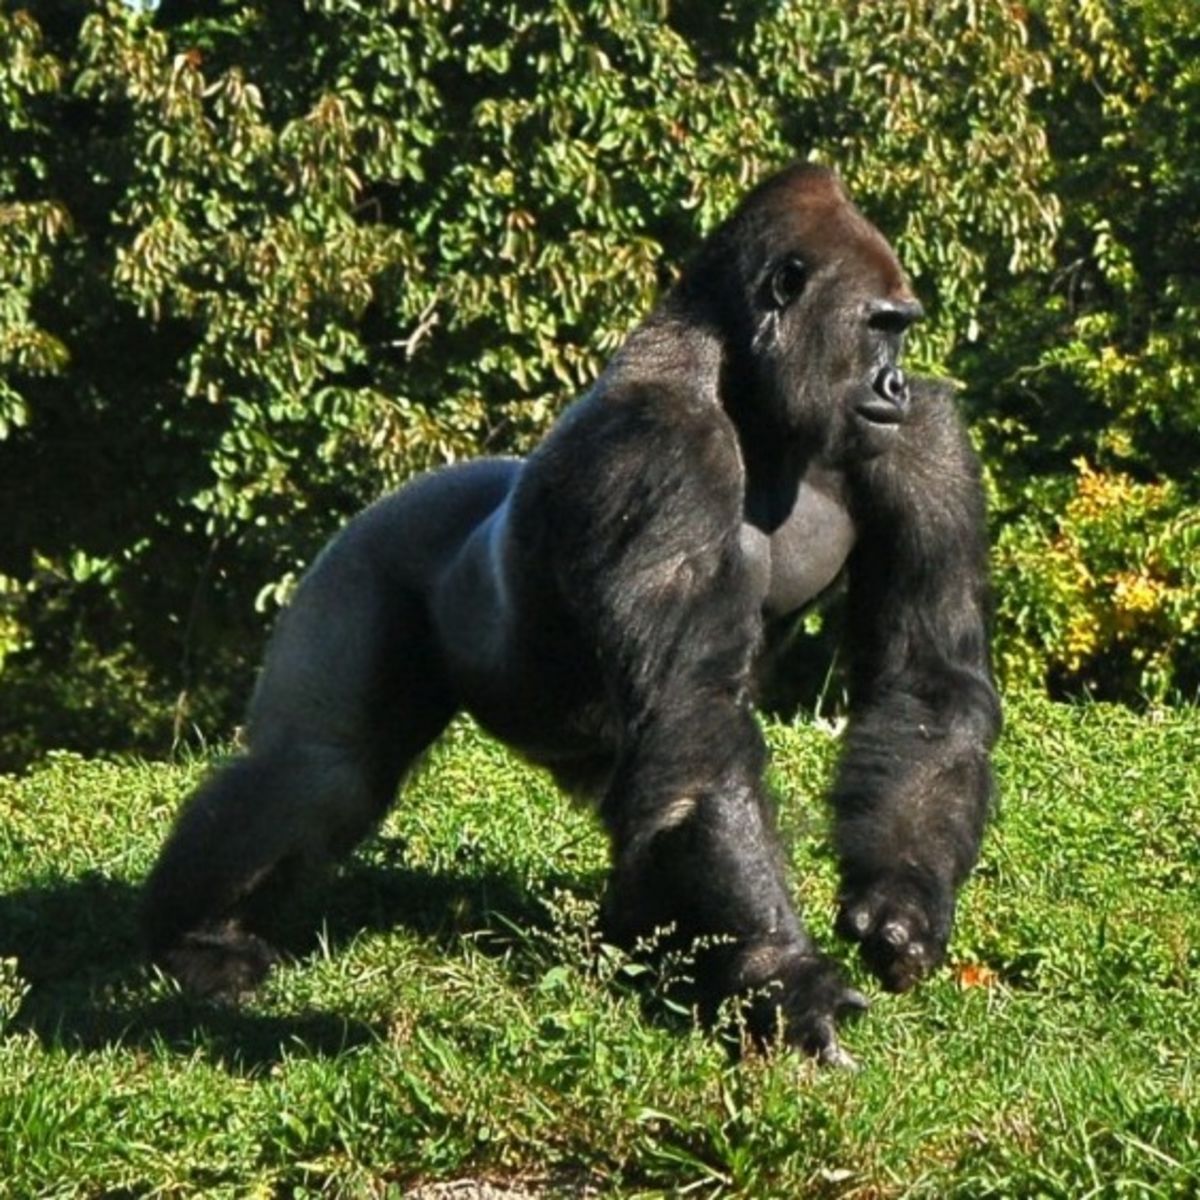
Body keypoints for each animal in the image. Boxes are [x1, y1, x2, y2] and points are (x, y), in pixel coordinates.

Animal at [142, 164, 1003, 1065]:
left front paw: (900, 904)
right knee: (322, 766)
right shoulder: (660, 449)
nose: (895, 383)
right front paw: (786, 976)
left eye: (901, 332)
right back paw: (196, 937)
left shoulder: (923, 439)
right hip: (378, 544)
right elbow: (697, 724)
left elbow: (926, 680)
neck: (740, 382)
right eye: (880, 326)